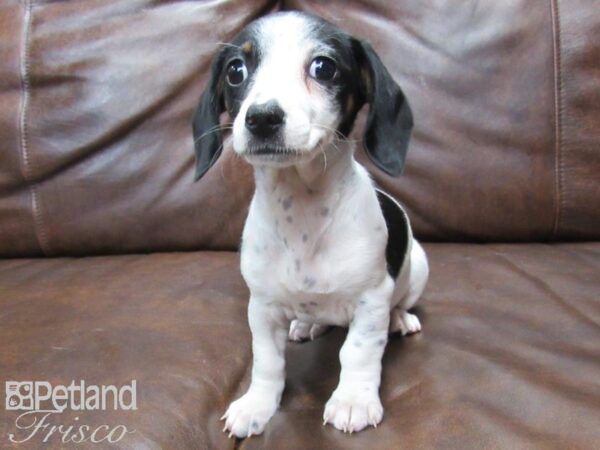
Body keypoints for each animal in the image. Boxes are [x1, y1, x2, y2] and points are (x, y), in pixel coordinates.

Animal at [191, 11, 426, 440]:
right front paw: (257, 405)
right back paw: (306, 324)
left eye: (323, 67)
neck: (302, 212)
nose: (262, 118)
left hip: (417, 267)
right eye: (236, 70)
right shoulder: (262, 307)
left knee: (400, 303)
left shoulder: (370, 302)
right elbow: (266, 360)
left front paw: (353, 400)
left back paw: (400, 318)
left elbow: (359, 352)